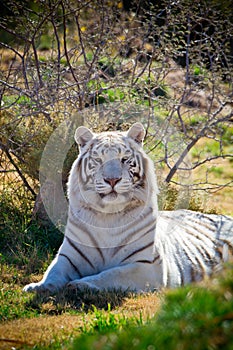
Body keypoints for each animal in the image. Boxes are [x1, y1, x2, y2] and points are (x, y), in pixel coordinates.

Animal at [24, 123, 233, 292]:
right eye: (98, 160)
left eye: (124, 159)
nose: (112, 180)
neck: (108, 216)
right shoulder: (68, 256)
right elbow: (53, 271)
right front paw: (38, 287)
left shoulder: (147, 266)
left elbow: (111, 274)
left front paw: (81, 284)